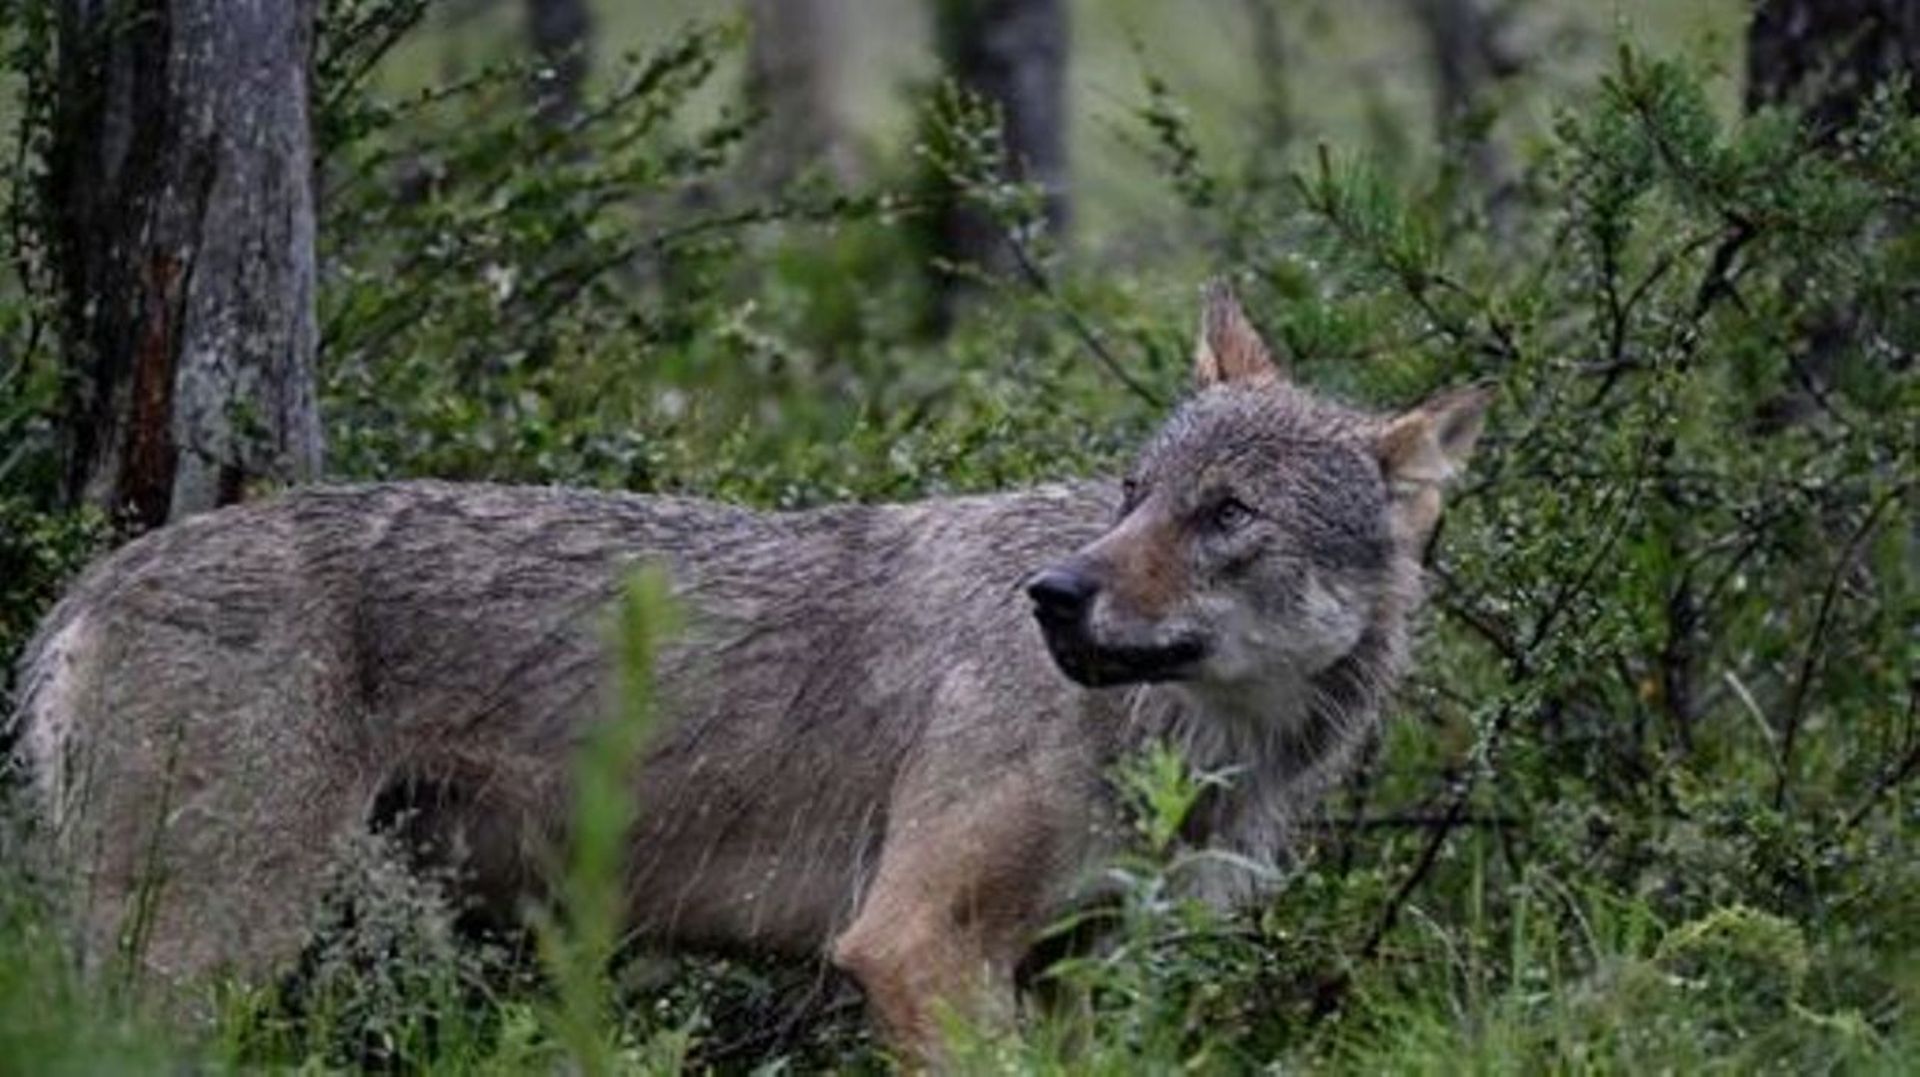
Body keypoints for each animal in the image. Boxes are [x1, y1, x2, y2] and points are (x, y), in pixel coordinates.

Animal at [10, 283, 1488, 1059]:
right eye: (1134, 495)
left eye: (1224, 514)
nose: (1054, 595)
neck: (1198, 749)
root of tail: (92, 584)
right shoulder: (914, 942)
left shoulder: (1076, 973)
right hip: (202, 964)